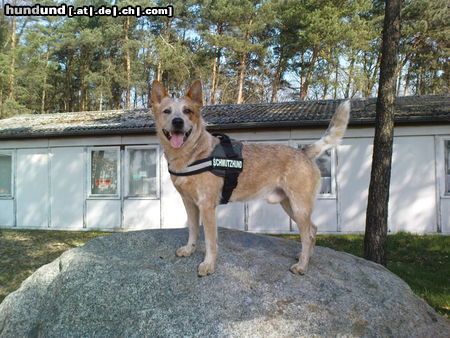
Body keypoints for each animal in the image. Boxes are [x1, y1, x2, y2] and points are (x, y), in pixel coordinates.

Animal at [149, 80, 350, 276]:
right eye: (167, 111)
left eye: (187, 111)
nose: (177, 122)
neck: (192, 154)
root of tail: (304, 151)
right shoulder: (189, 202)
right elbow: (192, 229)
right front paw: (189, 249)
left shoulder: (207, 205)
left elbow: (210, 241)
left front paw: (208, 265)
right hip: (289, 205)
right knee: (313, 229)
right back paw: (304, 257)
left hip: (299, 206)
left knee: (307, 235)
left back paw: (302, 266)